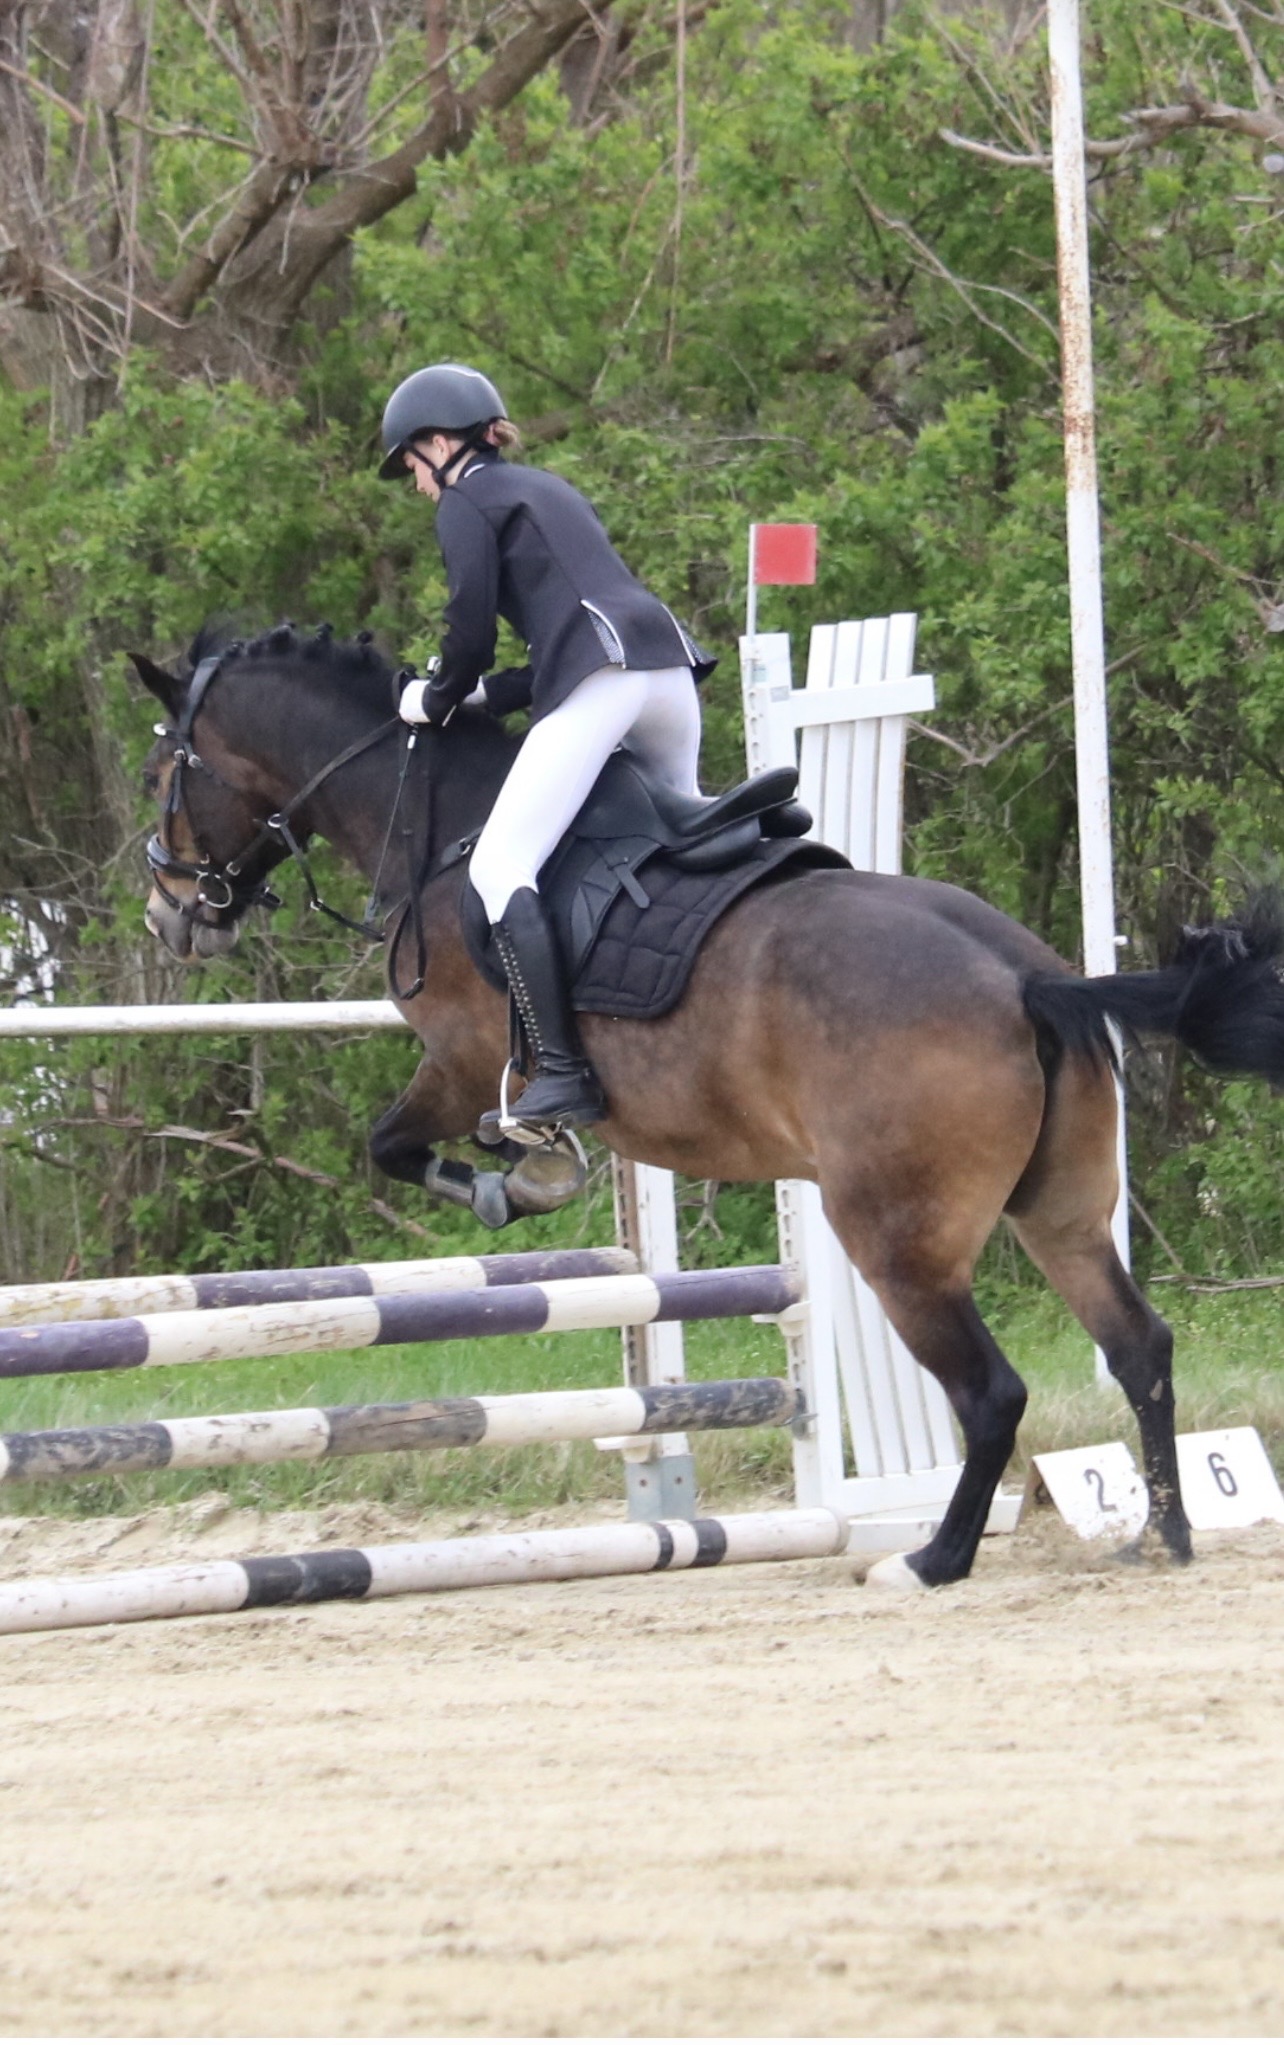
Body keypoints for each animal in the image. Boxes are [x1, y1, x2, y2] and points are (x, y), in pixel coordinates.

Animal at [131, 624, 1284, 1591]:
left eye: (163, 773)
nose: (170, 914)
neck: (439, 821)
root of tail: (1025, 977)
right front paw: (533, 1167)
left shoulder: (459, 1060)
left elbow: (397, 1144)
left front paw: (520, 1181)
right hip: (1061, 1213)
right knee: (1139, 1347)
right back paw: (1162, 1535)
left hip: (896, 1239)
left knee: (991, 1391)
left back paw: (931, 1559)